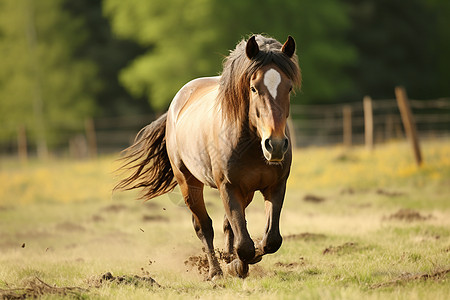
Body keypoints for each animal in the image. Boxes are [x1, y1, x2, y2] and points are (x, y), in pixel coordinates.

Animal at [115, 34, 302, 278]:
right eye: (253, 88)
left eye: (288, 88)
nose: (276, 145)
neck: (250, 143)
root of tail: (176, 104)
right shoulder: (228, 187)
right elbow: (244, 243)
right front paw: (236, 265)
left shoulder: (275, 186)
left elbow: (270, 240)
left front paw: (242, 260)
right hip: (189, 183)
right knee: (204, 227)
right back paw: (215, 271)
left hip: (246, 191)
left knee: (228, 225)